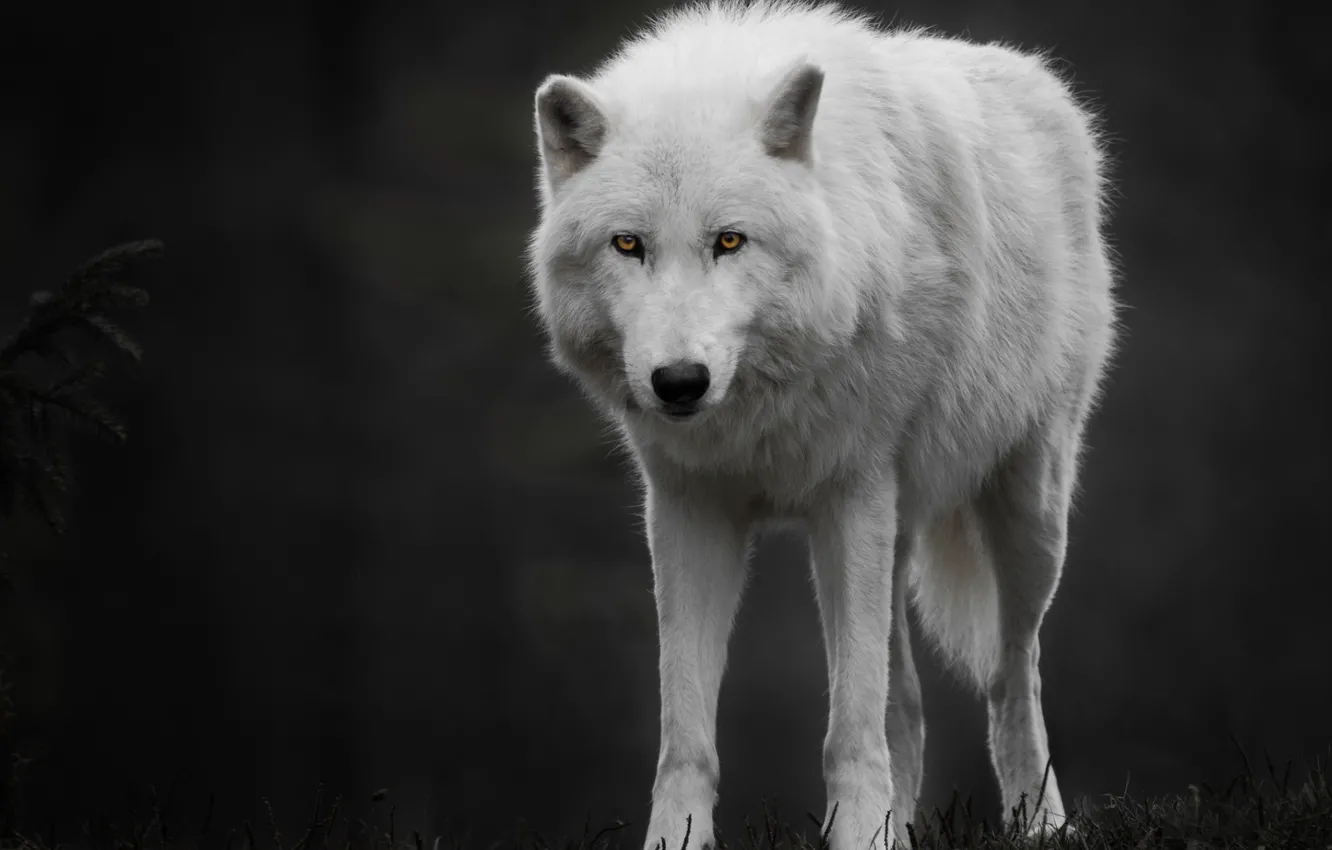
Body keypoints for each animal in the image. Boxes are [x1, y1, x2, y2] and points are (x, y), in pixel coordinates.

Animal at [525, 1, 1117, 848]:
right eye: (627, 244)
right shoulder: (687, 510)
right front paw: (681, 838)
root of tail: (1043, 81)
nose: (679, 382)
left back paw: (1040, 826)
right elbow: (687, 736)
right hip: (898, 534)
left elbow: (849, 731)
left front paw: (859, 832)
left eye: (729, 240)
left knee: (1012, 678)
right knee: (909, 709)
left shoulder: (850, 497)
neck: (756, 407)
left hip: (1027, 514)